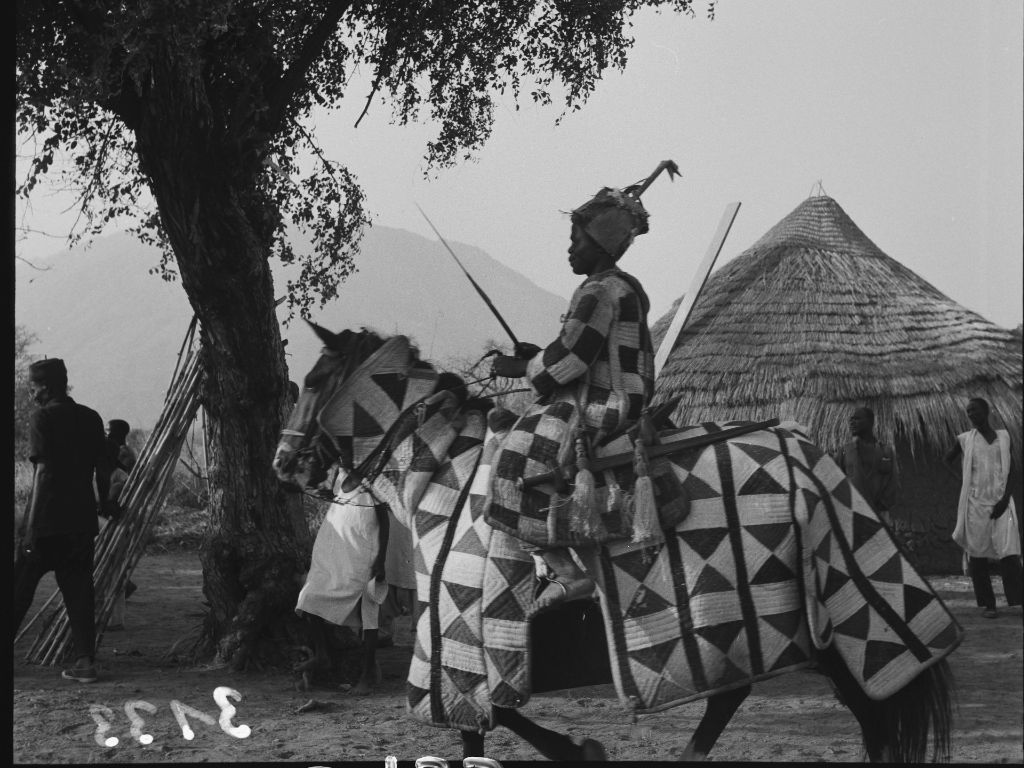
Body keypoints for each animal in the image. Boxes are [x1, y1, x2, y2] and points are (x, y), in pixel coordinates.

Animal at [274, 325, 958, 765]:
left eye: (313, 378)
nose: (285, 462)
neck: (445, 470)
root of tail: (807, 452)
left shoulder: (460, 638)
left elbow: (488, 722)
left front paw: (582, 748)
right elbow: (497, 720)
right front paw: (581, 747)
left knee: (856, 696)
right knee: (747, 693)